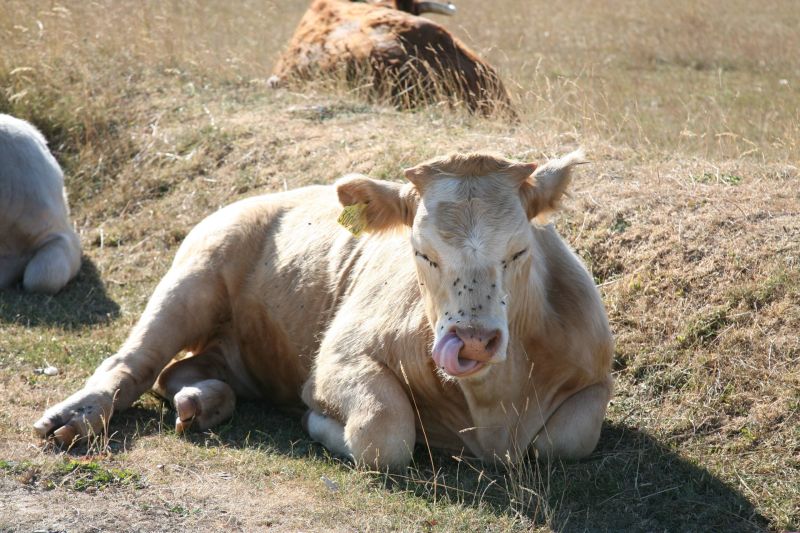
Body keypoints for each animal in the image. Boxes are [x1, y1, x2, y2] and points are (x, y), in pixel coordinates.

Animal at [34, 149, 612, 466]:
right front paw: (320, 424)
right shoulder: (337, 360)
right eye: (421, 252)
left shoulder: (596, 378)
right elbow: (383, 432)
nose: (471, 341)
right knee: (131, 364)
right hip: (193, 276)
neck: (491, 406)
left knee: (175, 372)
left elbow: (565, 439)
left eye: (519, 251)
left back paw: (202, 401)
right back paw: (74, 417)